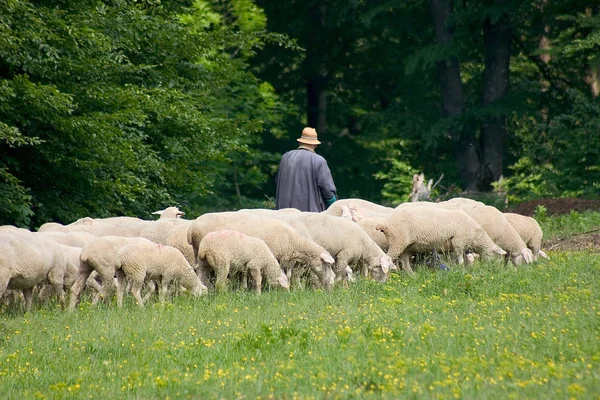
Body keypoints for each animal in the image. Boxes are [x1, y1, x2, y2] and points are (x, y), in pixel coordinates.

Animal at [188, 212, 338, 290]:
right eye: (327, 265)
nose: (331, 284)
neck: (293, 241)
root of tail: (192, 227)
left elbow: (287, 275)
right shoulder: (273, 256)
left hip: (198, 255)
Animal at [376, 206, 506, 272]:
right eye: (498, 257)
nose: (496, 269)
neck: (475, 234)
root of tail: (386, 222)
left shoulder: (455, 246)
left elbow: (460, 259)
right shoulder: (458, 241)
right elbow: (460, 259)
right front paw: (460, 269)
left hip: (407, 245)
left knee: (405, 262)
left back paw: (413, 275)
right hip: (398, 240)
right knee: (386, 258)